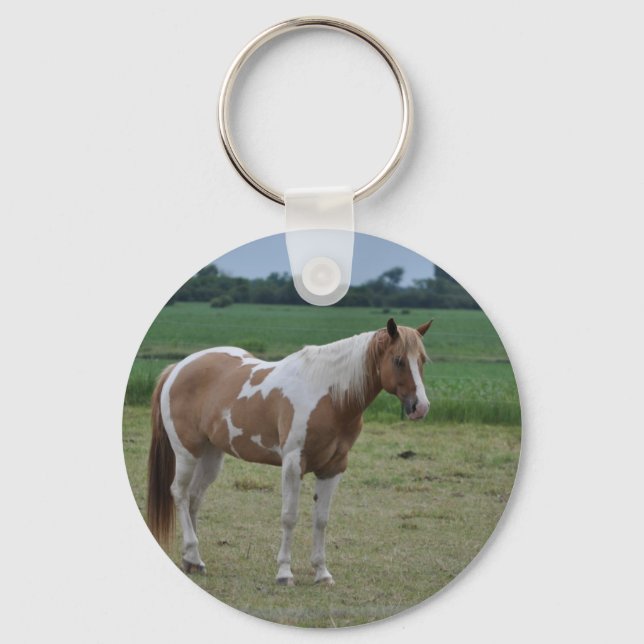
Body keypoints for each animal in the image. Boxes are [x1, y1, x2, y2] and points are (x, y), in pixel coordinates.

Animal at [147, 317, 432, 586]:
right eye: (398, 360)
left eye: (422, 360)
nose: (420, 407)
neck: (329, 396)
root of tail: (177, 369)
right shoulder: (294, 463)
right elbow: (289, 516)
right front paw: (284, 573)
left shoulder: (333, 467)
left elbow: (321, 520)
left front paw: (322, 574)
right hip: (187, 452)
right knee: (180, 494)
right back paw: (192, 551)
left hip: (211, 455)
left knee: (194, 498)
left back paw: (193, 561)